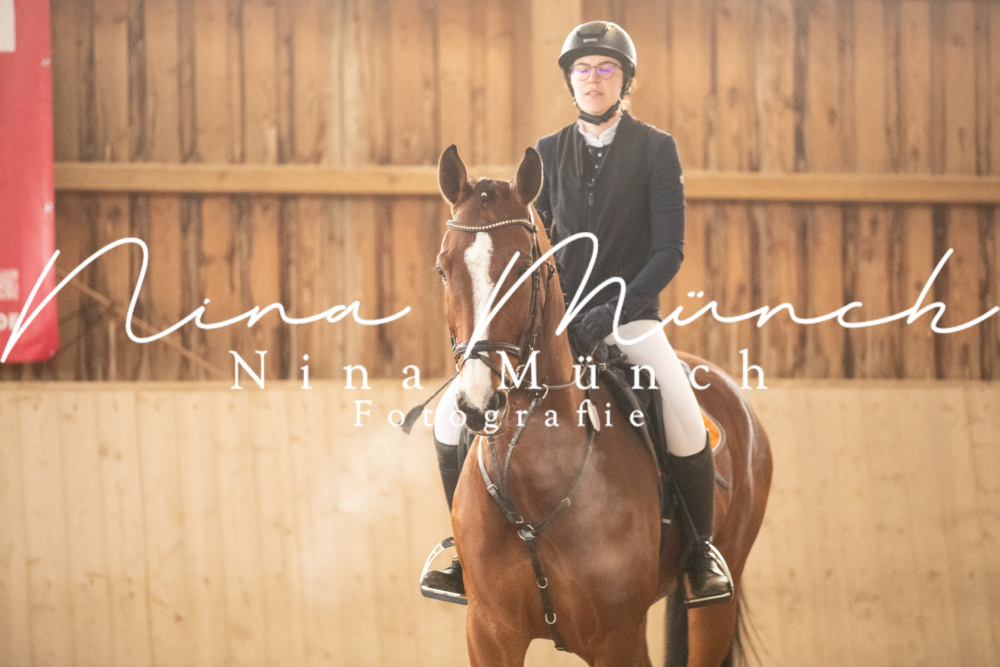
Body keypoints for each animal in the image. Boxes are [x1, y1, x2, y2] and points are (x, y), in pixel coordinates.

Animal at [434, 143, 772, 666]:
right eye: (443, 267)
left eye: (525, 267)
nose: (478, 402)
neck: (533, 483)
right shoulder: (489, 633)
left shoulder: (619, 639)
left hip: (719, 602)